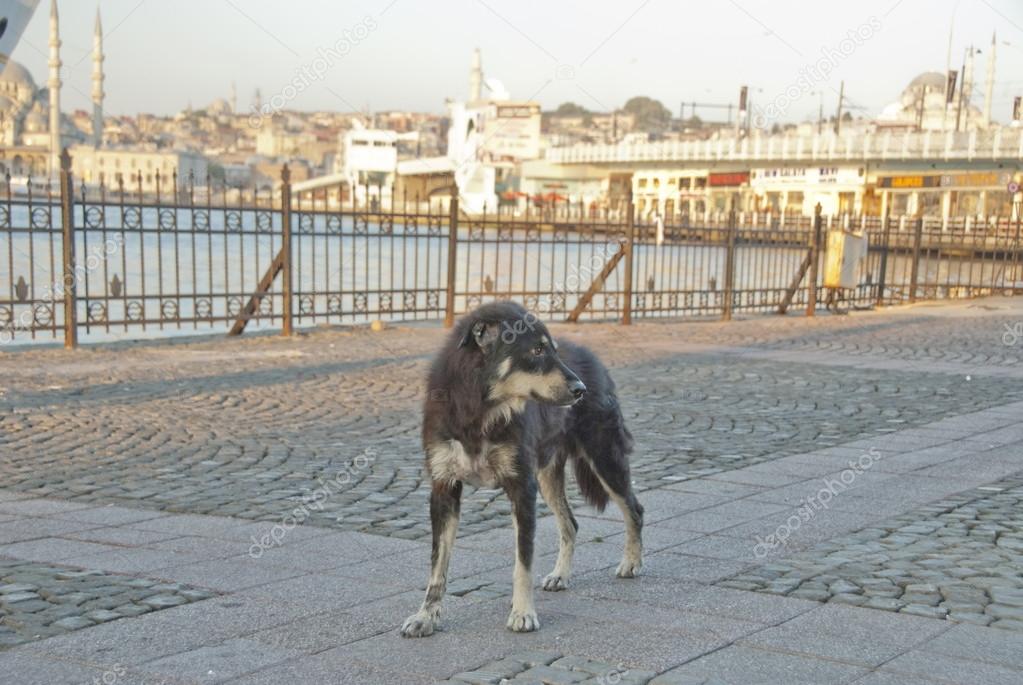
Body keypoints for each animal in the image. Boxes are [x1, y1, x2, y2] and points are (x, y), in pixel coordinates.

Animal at [396, 302, 638, 637]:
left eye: (553, 351)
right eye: (536, 350)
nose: (581, 389)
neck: (480, 411)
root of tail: (595, 360)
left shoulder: (521, 487)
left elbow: (523, 561)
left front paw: (523, 613)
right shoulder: (444, 489)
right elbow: (437, 566)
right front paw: (426, 616)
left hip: (604, 457)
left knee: (634, 510)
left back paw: (631, 563)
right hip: (548, 475)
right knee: (571, 523)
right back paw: (561, 575)